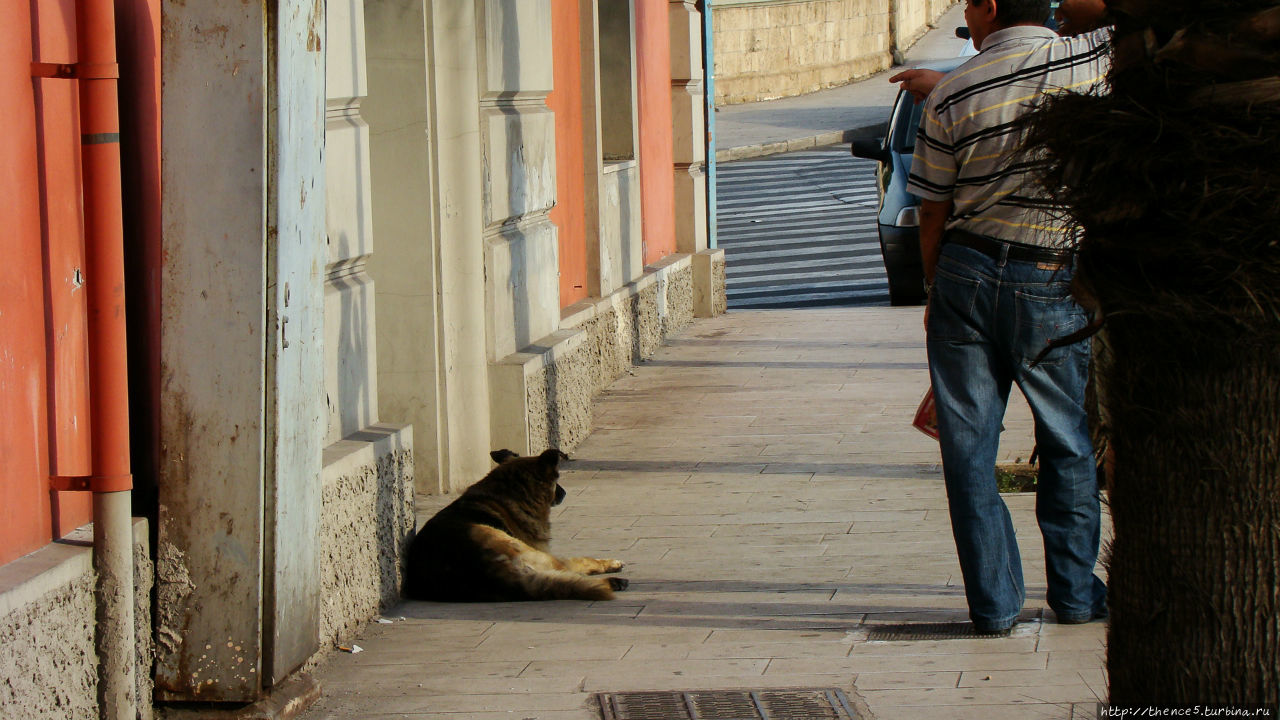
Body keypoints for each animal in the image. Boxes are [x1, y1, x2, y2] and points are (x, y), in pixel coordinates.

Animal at [404, 445, 629, 597]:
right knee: (570, 570)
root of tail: (484, 570)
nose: (564, 493)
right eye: (556, 480)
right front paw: (609, 562)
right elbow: (582, 560)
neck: (513, 491)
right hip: (531, 552)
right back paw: (613, 580)